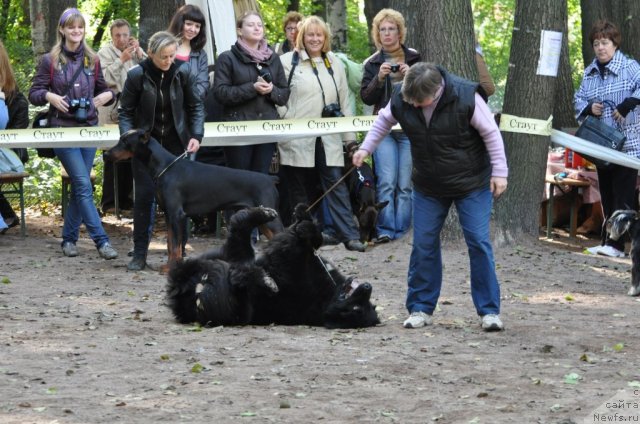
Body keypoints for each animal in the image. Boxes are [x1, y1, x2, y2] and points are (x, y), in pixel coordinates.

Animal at [105, 129, 282, 268]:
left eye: (125, 141)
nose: (105, 154)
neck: (165, 167)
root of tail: (270, 178)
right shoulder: (169, 215)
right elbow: (170, 243)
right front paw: (168, 266)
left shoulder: (177, 214)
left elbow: (175, 245)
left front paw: (172, 268)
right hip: (263, 217)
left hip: (271, 218)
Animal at [165, 205, 380, 328]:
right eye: (365, 305)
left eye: (357, 309)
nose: (368, 287)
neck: (332, 293)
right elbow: (312, 238)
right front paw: (304, 218)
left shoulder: (293, 264)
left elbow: (294, 244)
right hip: (231, 255)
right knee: (237, 233)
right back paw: (263, 214)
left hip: (237, 305)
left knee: (237, 275)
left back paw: (263, 279)